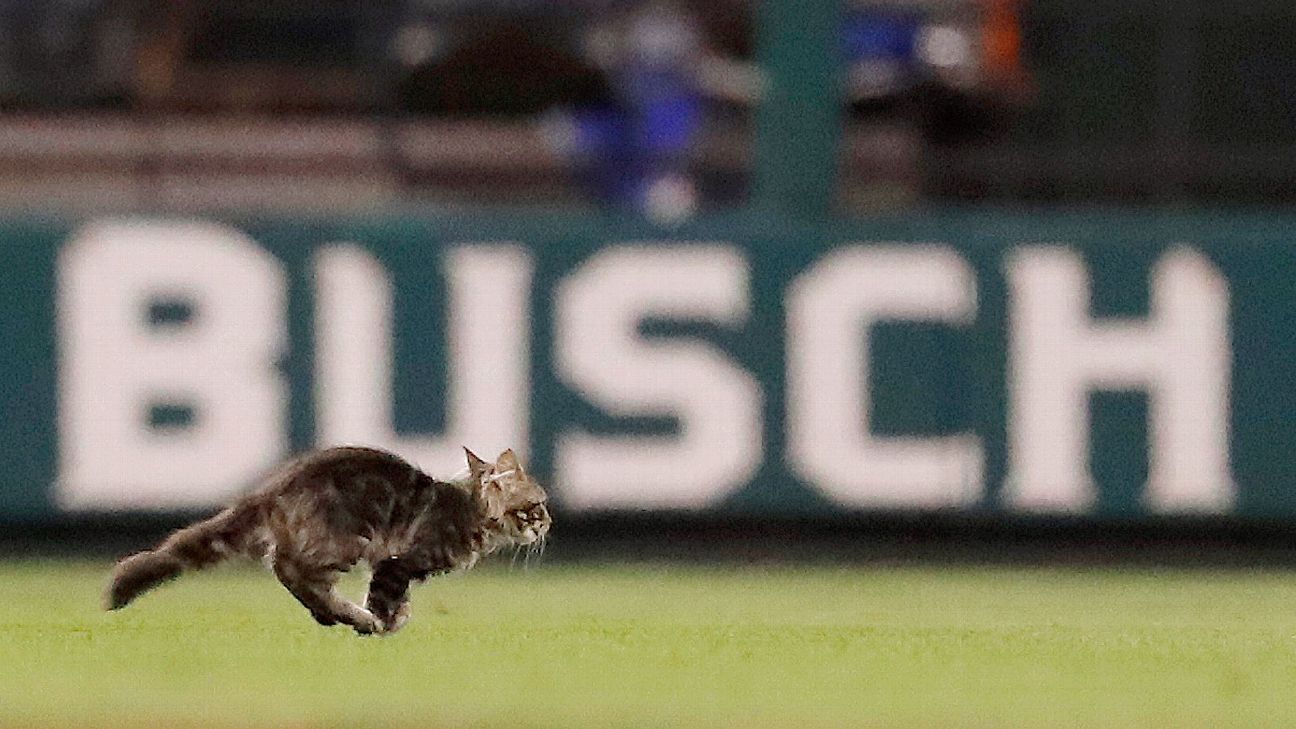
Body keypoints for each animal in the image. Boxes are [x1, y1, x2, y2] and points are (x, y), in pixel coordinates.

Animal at [107, 443, 552, 630]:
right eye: (538, 505)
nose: (548, 523)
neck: (472, 509)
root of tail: (274, 487)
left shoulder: (390, 565)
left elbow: (399, 600)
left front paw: (394, 618)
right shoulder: (398, 560)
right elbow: (386, 598)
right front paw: (382, 623)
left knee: (289, 571)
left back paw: (331, 616)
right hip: (345, 540)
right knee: (290, 569)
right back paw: (350, 617)